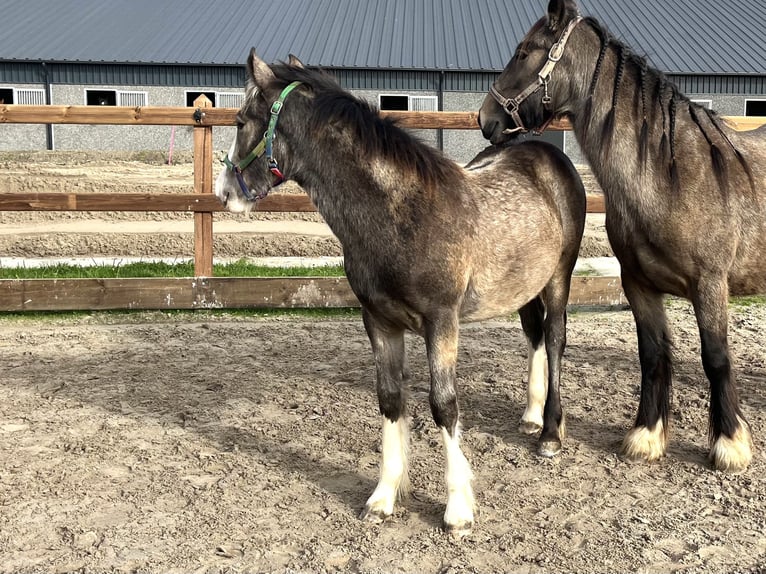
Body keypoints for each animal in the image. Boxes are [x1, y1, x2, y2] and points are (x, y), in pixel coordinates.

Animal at [216, 49, 588, 536]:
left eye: (241, 121)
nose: (224, 193)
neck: (402, 214)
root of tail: (549, 156)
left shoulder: (441, 323)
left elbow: (444, 405)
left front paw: (458, 510)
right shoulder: (379, 320)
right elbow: (391, 398)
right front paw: (384, 496)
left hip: (559, 276)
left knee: (556, 338)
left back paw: (550, 434)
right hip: (525, 285)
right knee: (535, 336)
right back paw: (530, 415)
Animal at [480, 0, 766, 472]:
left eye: (523, 52)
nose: (486, 118)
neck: (672, 174)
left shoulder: (710, 285)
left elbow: (715, 357)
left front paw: (729, 444)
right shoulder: (638, 284)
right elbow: (651, 355)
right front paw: (647, 436)